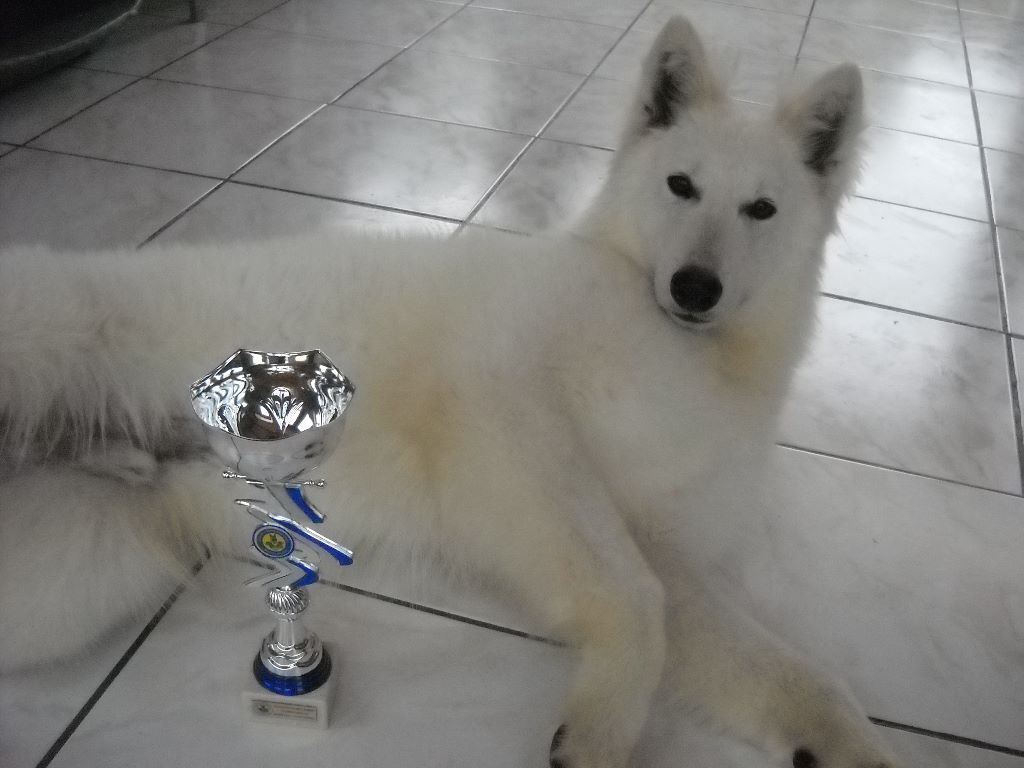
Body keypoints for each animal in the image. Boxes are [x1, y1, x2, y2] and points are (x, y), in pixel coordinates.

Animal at [0, 17, 904, 768]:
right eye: (681, 186)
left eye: (762, 210)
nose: (695, 287)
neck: (685, 354)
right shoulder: (509, 413)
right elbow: (637, 601)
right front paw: (601, 732)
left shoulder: (663, 552)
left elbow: (789, 671)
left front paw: (850, 746)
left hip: (74, 571)